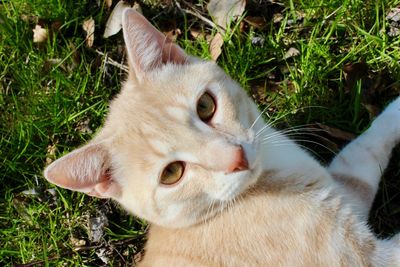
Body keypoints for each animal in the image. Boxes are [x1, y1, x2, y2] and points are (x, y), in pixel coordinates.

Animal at [44, 8, 400, 267]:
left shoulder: (348, 191)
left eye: (205, 106)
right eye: (171, 173)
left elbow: (363, 151)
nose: (236, 158)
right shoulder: (366, 259)